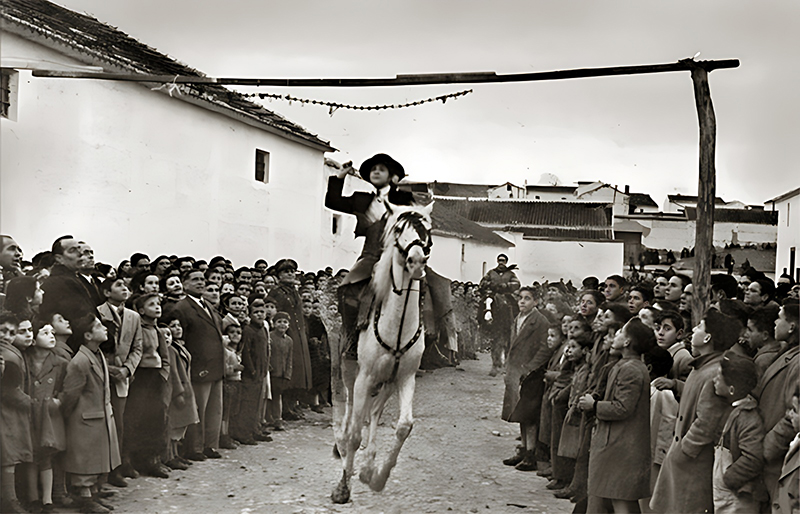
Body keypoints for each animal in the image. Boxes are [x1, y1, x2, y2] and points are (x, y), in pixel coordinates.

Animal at [330, 199, 434, 500]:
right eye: (398, 228)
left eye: (427, 229)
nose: (416, 261)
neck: (396, 326)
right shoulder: (364, 376)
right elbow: (355, 431)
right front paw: (343, 487)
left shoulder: (405, 377)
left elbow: (403, 427)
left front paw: (377, 476)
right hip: (350, 371)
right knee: (352, 408)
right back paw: (343, 447)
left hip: (387, 382)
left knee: (373, 412)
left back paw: (367, 465)